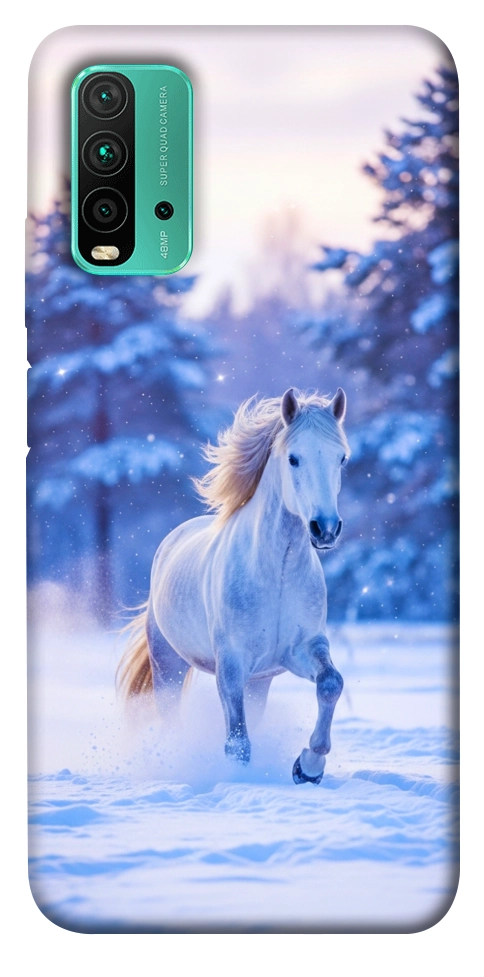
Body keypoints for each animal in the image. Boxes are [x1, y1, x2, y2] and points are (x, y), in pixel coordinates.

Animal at [118, 387, 350, 784]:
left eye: (341, 459)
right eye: (294, 458)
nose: (325, 529)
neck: (277, 573)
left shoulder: (301, 649)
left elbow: (331, 683)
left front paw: (308, 767)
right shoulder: (231, 664)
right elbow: (237, 742)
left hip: (259, 682)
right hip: (168, 665)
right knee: (171, 717)